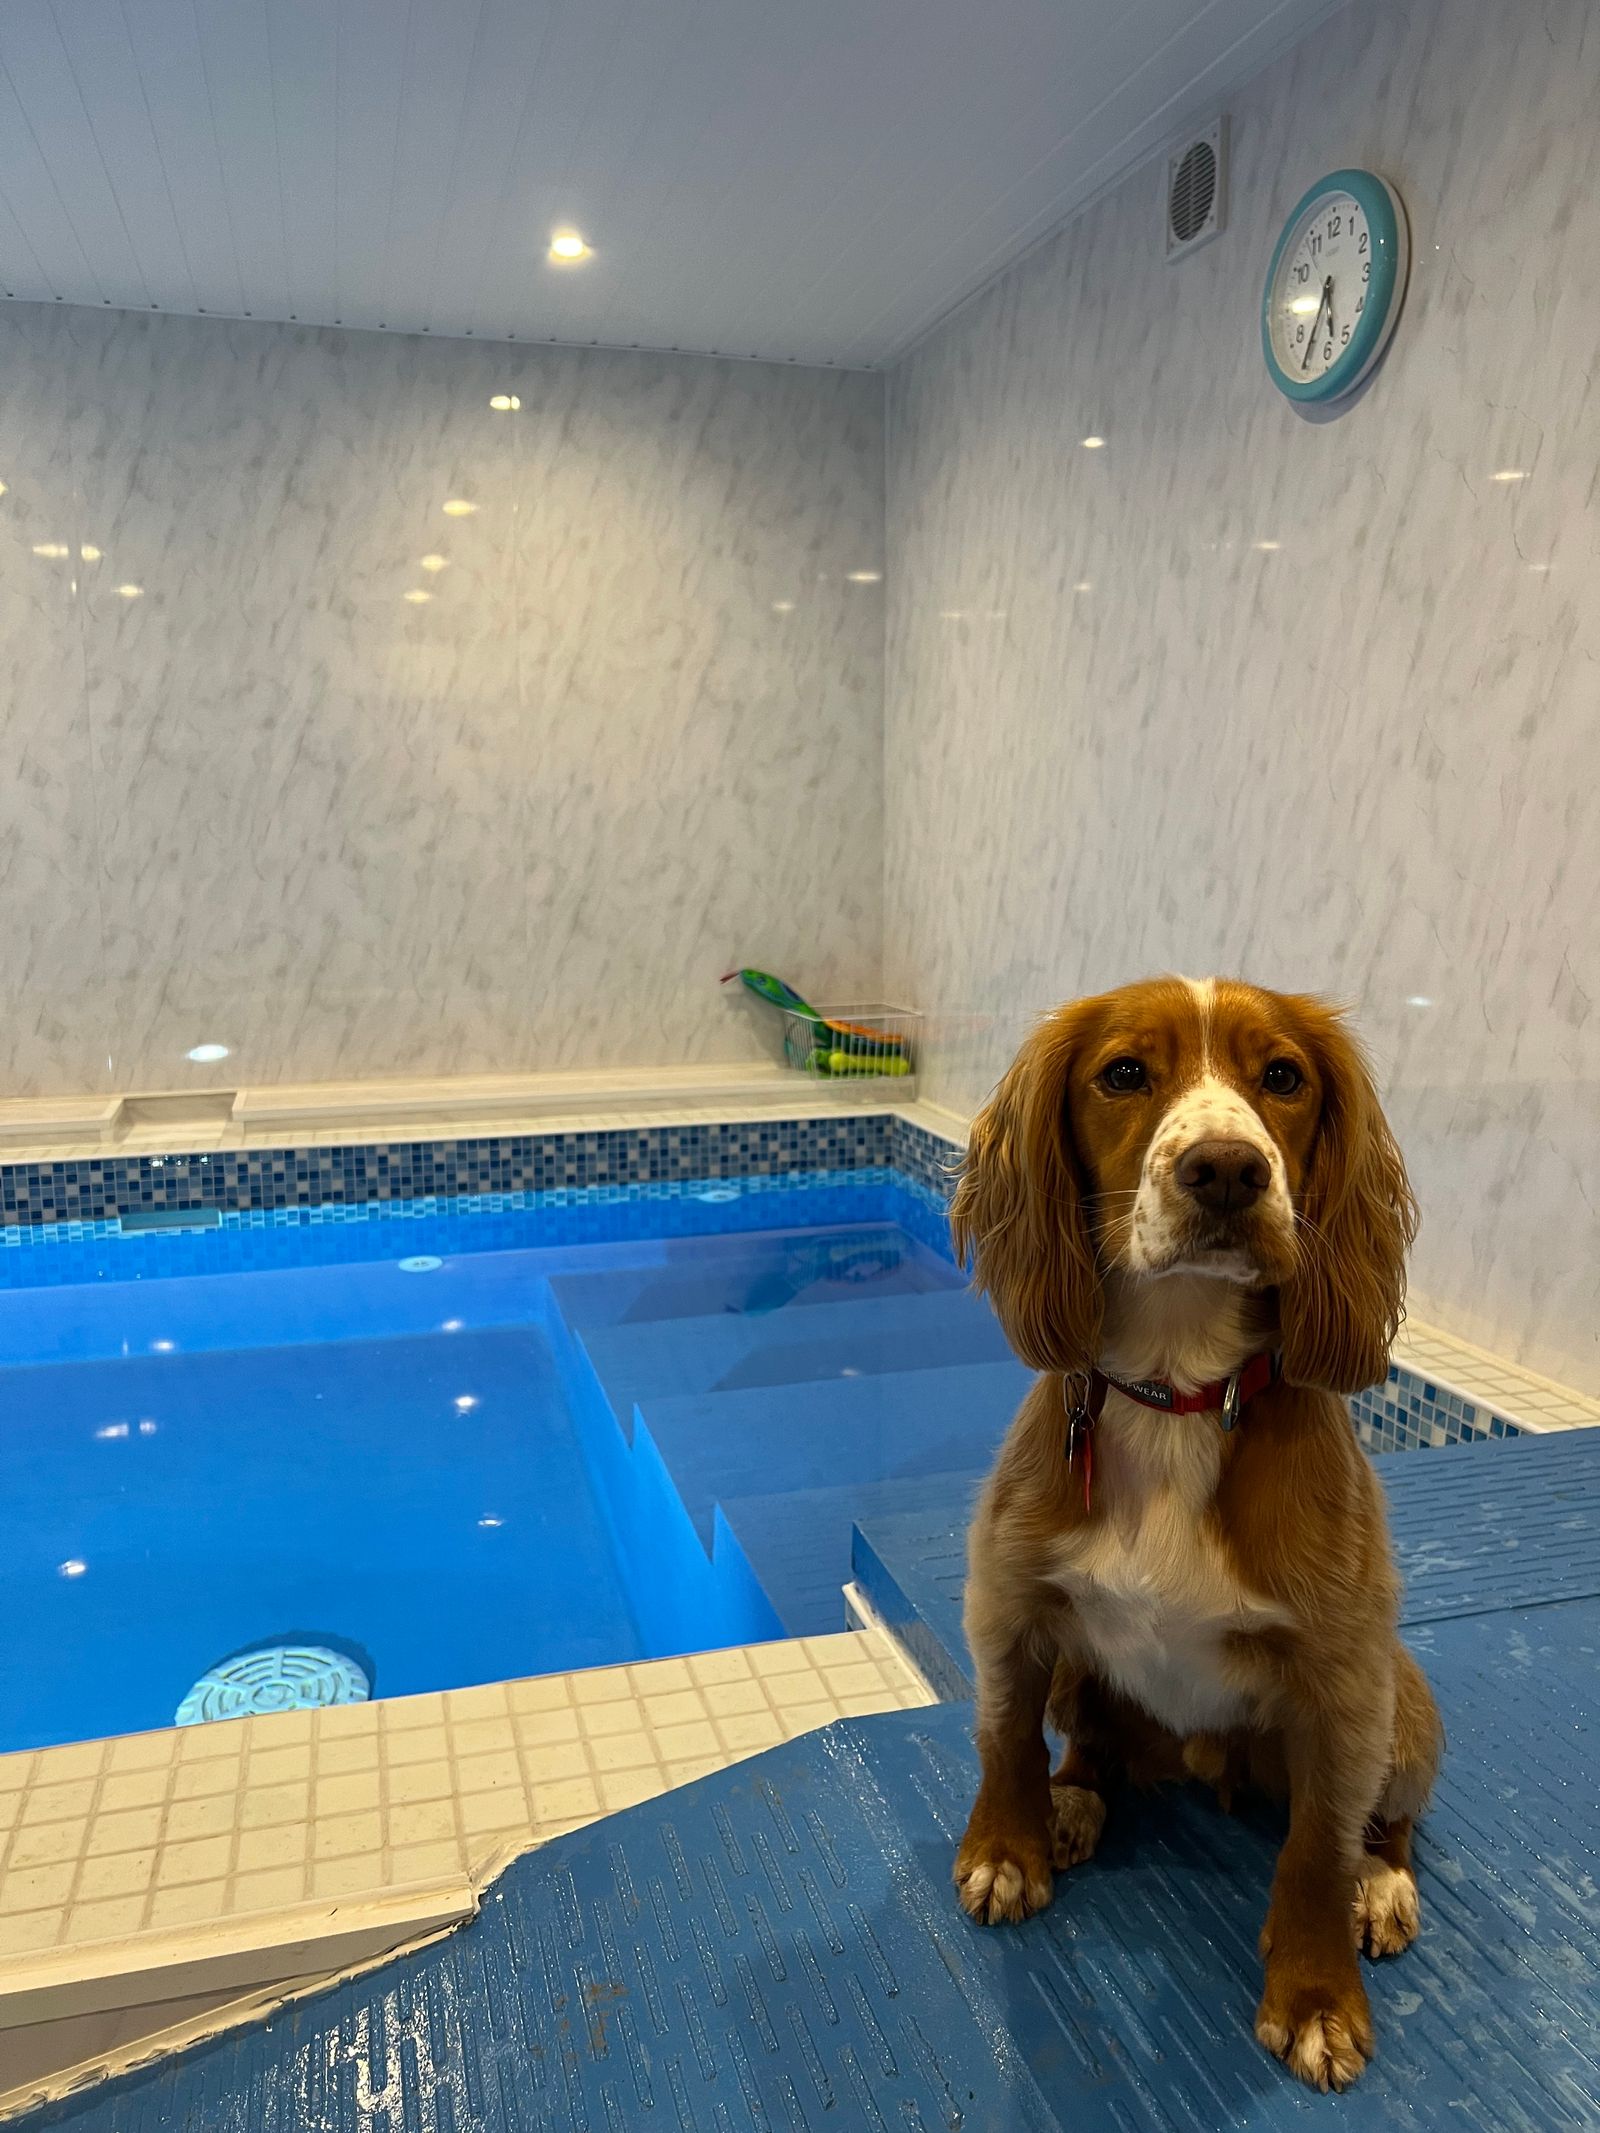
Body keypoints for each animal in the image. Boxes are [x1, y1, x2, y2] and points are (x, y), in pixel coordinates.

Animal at [951, 976, 1442, 2090]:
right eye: (1125, 1072)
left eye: (1284, 1077)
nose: (1226, 1169)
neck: (1179, 1389)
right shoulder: (1007, 1600)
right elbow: (1005, 1734)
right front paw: (1008, 1849)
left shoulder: (1344, 1683)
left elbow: (1314, 1851)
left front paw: (1316, 1999)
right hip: (1085, 1669)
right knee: (1089, 1739)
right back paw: (1075, 1801)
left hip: (1404, 1706)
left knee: (1385, 1822)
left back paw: (1382, 1884)